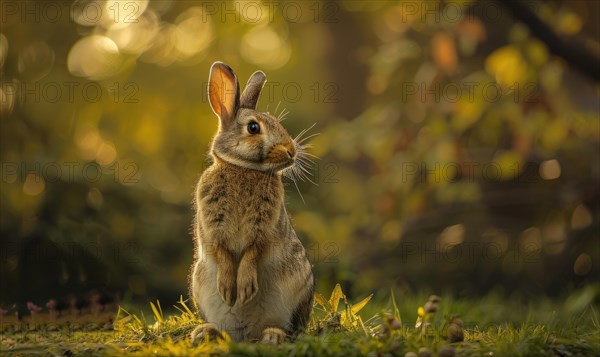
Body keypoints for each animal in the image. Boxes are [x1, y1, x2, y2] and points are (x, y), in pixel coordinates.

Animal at [190, 61, 316, 342]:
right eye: (254, 128)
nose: (291, 151)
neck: (244, 169)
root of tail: (245, 332)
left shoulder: (264, 227)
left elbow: (253, 252)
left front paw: (245, 288)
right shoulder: (213, 226)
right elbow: (222, 251)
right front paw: (229, 289)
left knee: (288, 329)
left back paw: (272, 336)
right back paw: (205, 332)